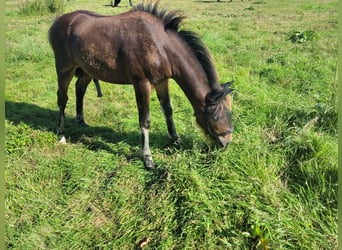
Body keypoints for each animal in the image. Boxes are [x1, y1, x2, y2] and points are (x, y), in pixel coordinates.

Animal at [48, 2, 232, 169]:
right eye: (215, 116)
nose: (227, 142)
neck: (160, 45)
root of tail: (57, 22)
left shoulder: (162, 82)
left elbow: (168, 110)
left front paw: (175, 140)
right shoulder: (142, 84)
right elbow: (145, 120)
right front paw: (148, 158)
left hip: (86, 69)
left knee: (80, 89)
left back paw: (80, 119)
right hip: (65, 69)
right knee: (62, 98)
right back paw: (61, 134)